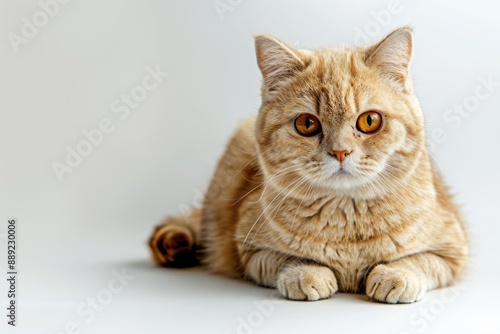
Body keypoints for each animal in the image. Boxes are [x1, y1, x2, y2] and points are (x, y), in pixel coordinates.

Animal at [148, 26, 468, 302]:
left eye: (370, 120)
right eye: (306, 124)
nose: (340, 151)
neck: (346, 220)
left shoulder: (453, 250)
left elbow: (418, 261)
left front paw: (395, 275)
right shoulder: (250, 251)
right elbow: (285, 260)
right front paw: (306, 273)